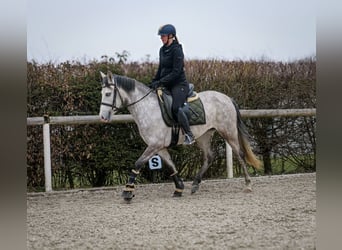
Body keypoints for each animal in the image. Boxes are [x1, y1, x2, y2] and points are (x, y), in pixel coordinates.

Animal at [99, 71, 262, 200]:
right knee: (209, 157)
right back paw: (195, 185)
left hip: (228, 132)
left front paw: (127, 191)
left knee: (239, 154)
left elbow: (138, 163)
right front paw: (179, 188)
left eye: (108, 94)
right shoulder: (159, 147)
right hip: (204, 136)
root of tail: (227, 98)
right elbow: (171, 166)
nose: (102, 117)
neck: (148, 108)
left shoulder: (154, 145)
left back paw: (248, 185)